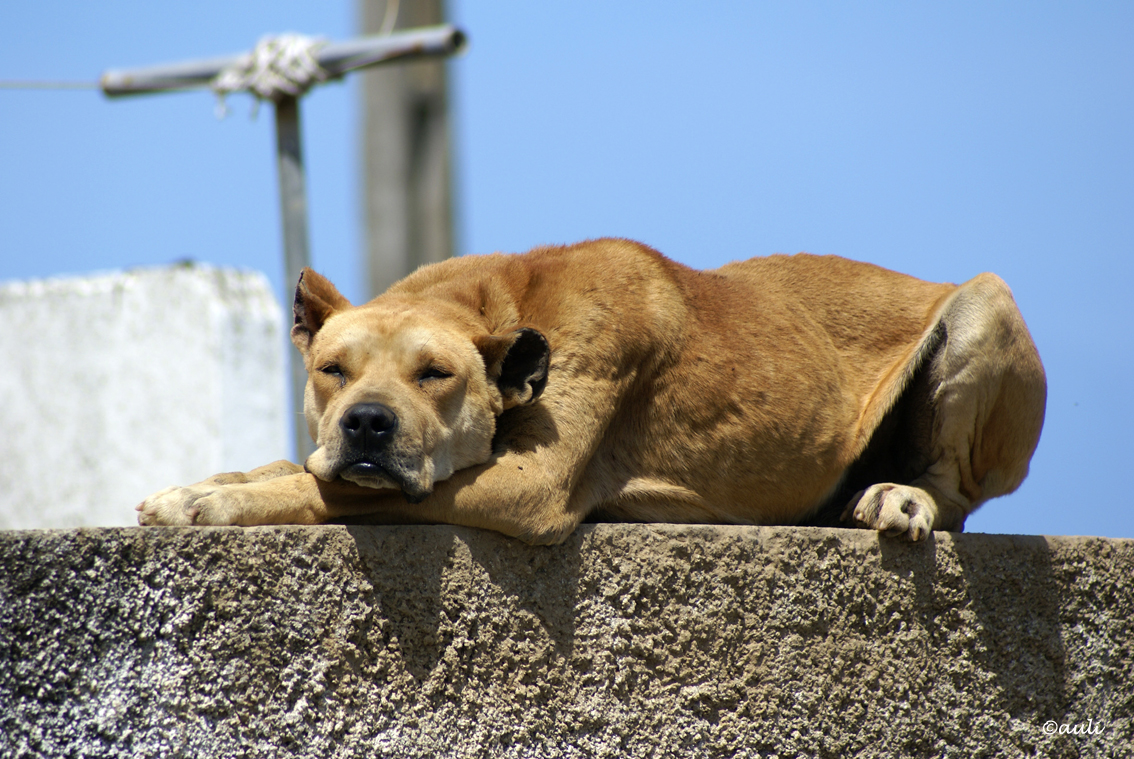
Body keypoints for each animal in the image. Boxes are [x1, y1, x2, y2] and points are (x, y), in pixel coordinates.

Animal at [139, 239, 1043, 542]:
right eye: (332, 369)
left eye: (436, 375)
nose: (365, 423)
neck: (500, 303)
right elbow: (292, 467)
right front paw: (202, 483)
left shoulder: (526, 484)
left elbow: (331, 490)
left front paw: (214, 503)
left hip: (985, 306)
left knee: (955, 493)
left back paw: (902, 496)